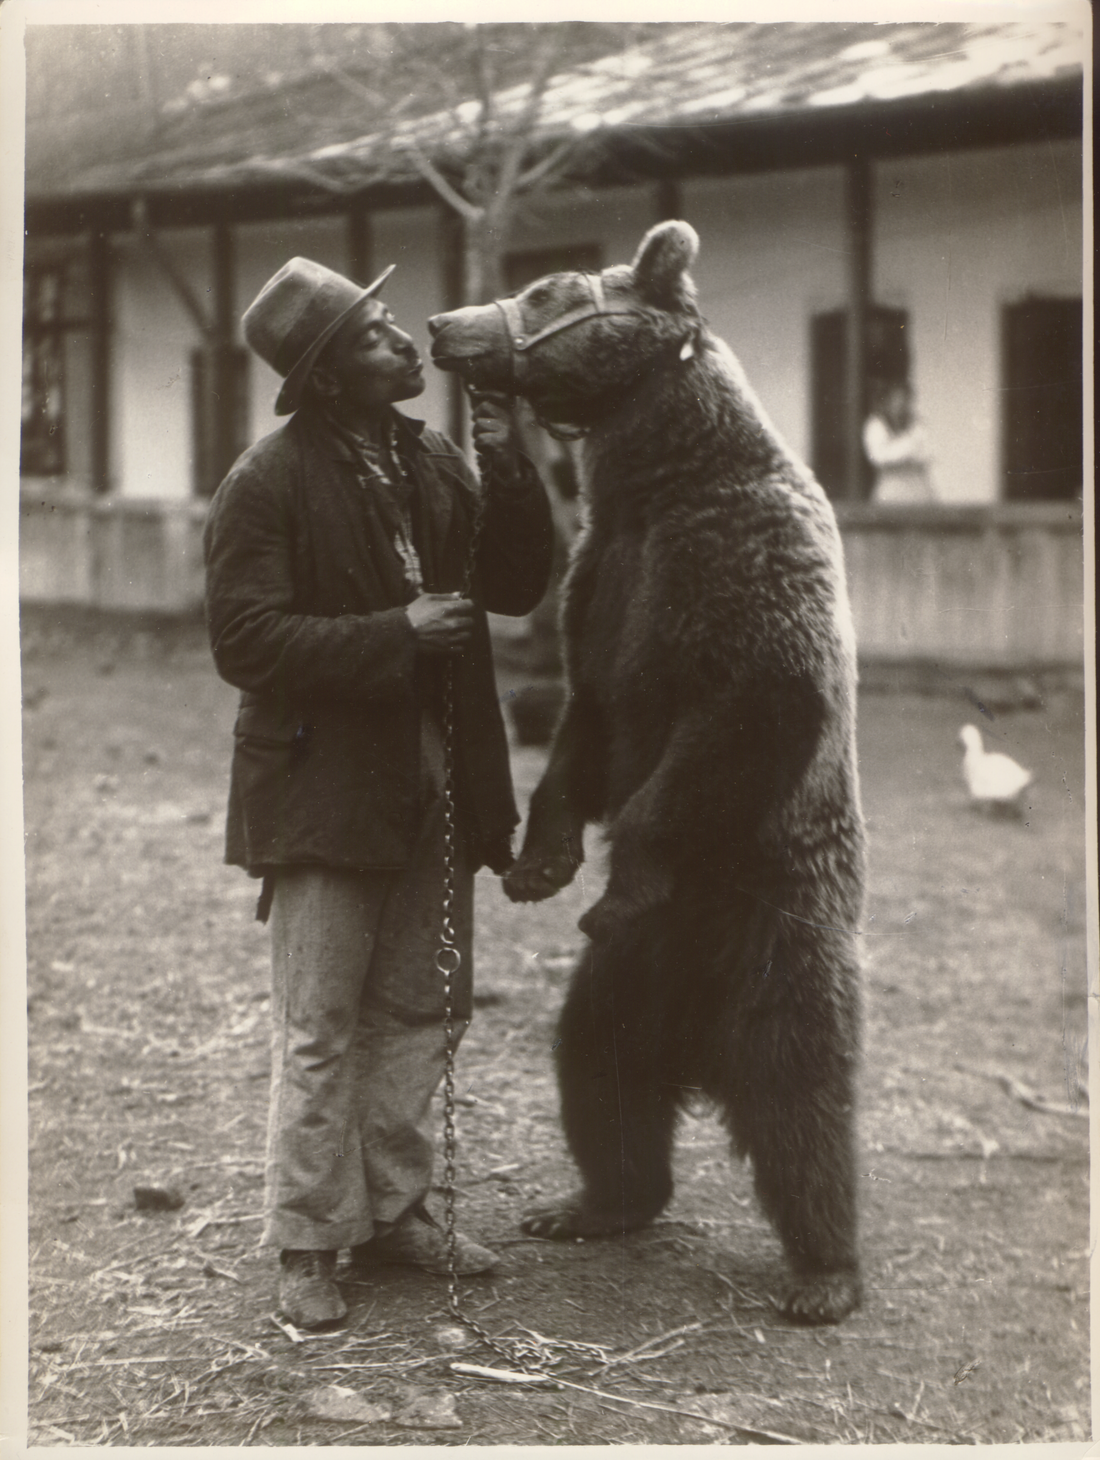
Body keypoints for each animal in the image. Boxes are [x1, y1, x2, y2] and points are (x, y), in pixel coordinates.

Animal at [427, 220, 866, 1325]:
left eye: (546, 286)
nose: (445, 322)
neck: (655, 481)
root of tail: (699, 1045)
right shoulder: (602, 579)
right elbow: (584, 723)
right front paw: (538, 864)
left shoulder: (739, 569)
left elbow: (742, 712)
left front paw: (619, 869)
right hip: (627, 980)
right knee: (598, 1067)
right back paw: (590, 1202)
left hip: (776, 925)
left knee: (800, 1097)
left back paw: (823, 1273)